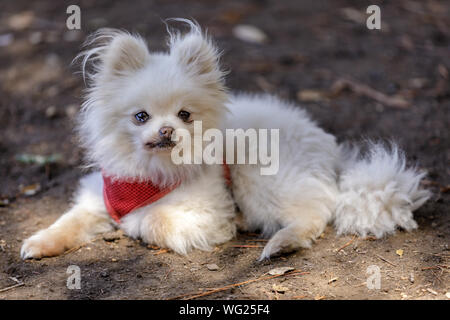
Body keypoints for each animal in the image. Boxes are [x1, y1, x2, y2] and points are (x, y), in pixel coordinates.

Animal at [20, 20, 428, 262]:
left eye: (185, 115)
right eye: (141, 117)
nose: (167, 130)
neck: (152, 172)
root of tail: (332, 153)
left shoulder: (205, 212)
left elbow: (153, 219)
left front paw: (133, 223)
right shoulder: (99, 196)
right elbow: (69, 221)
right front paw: (40, 243)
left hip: (260, 176)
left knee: (315, 212)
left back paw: (281, 242)